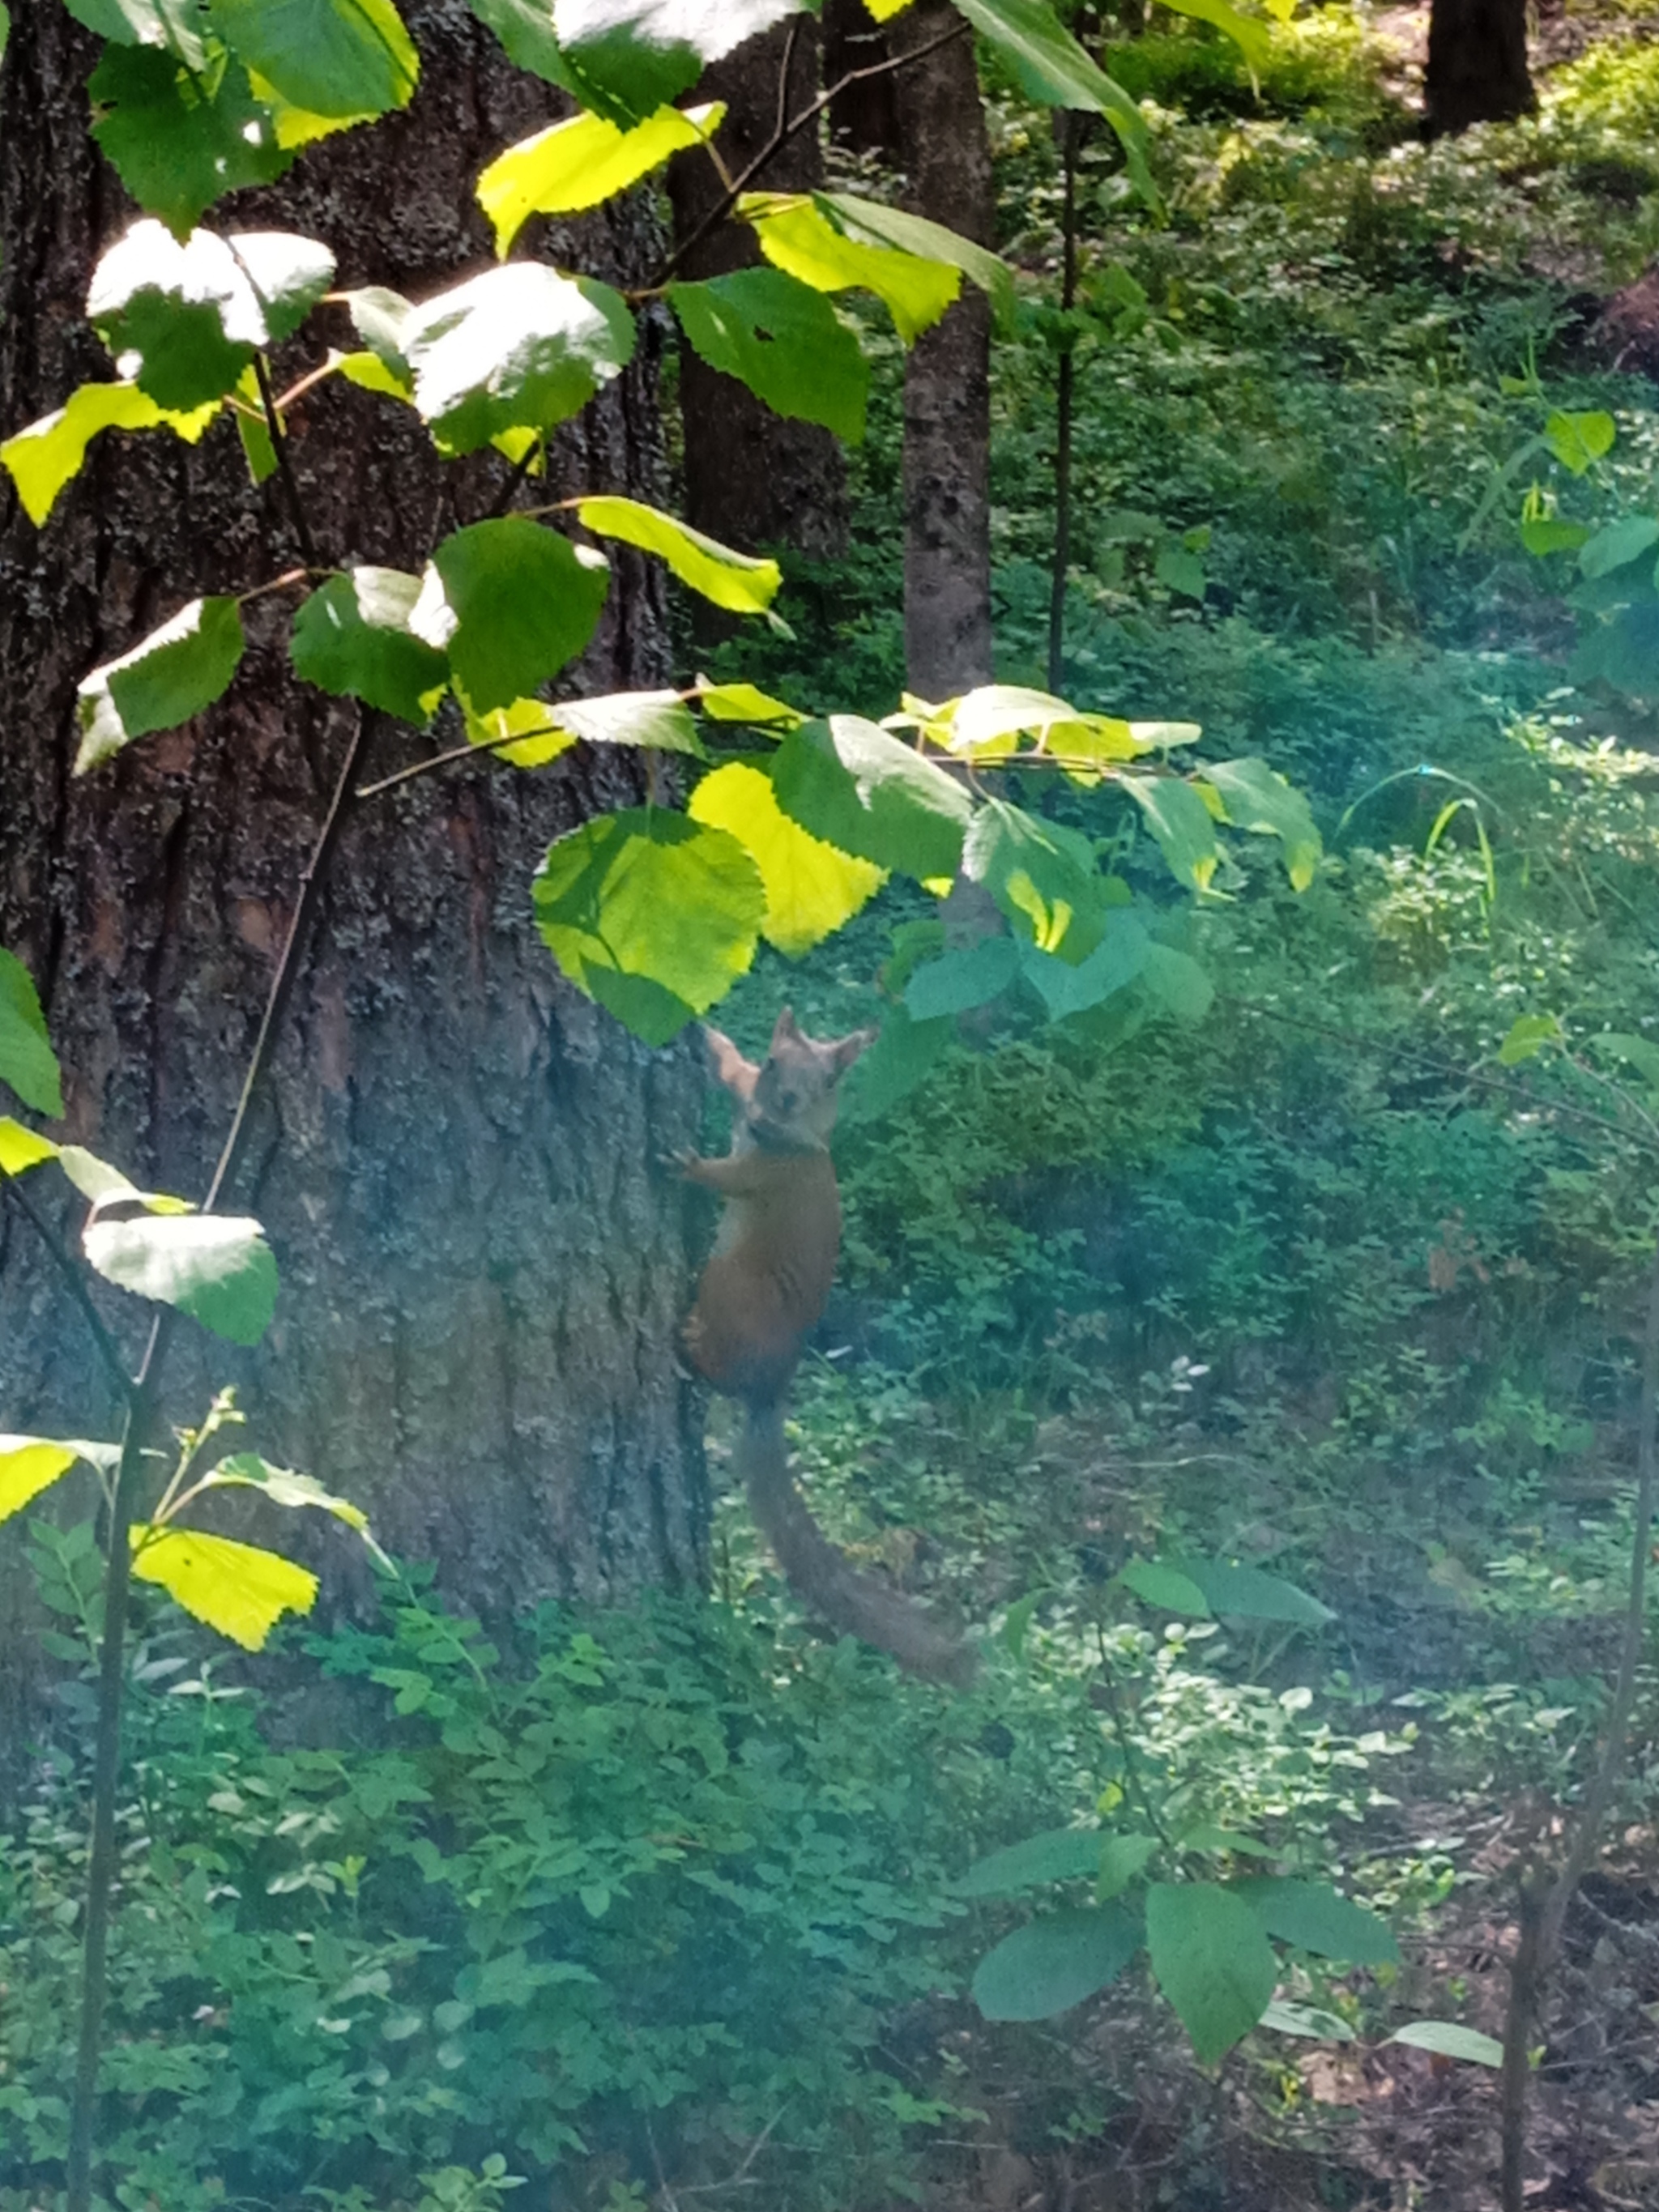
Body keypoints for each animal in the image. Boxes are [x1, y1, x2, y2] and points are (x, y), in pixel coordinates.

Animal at [676, 1012, 982, 1681]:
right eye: (774, 1062)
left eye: (828, 1081)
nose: (786, 1101)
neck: (787, 1136)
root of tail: (771, 1388)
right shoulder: (749, 1101)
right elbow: (733, 1073)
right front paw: (709, 1038)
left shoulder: (769, 1174)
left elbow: (729, 1176)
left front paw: (687, 1163)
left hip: (729, 1284)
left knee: (719, 1368)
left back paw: (688, 1345)